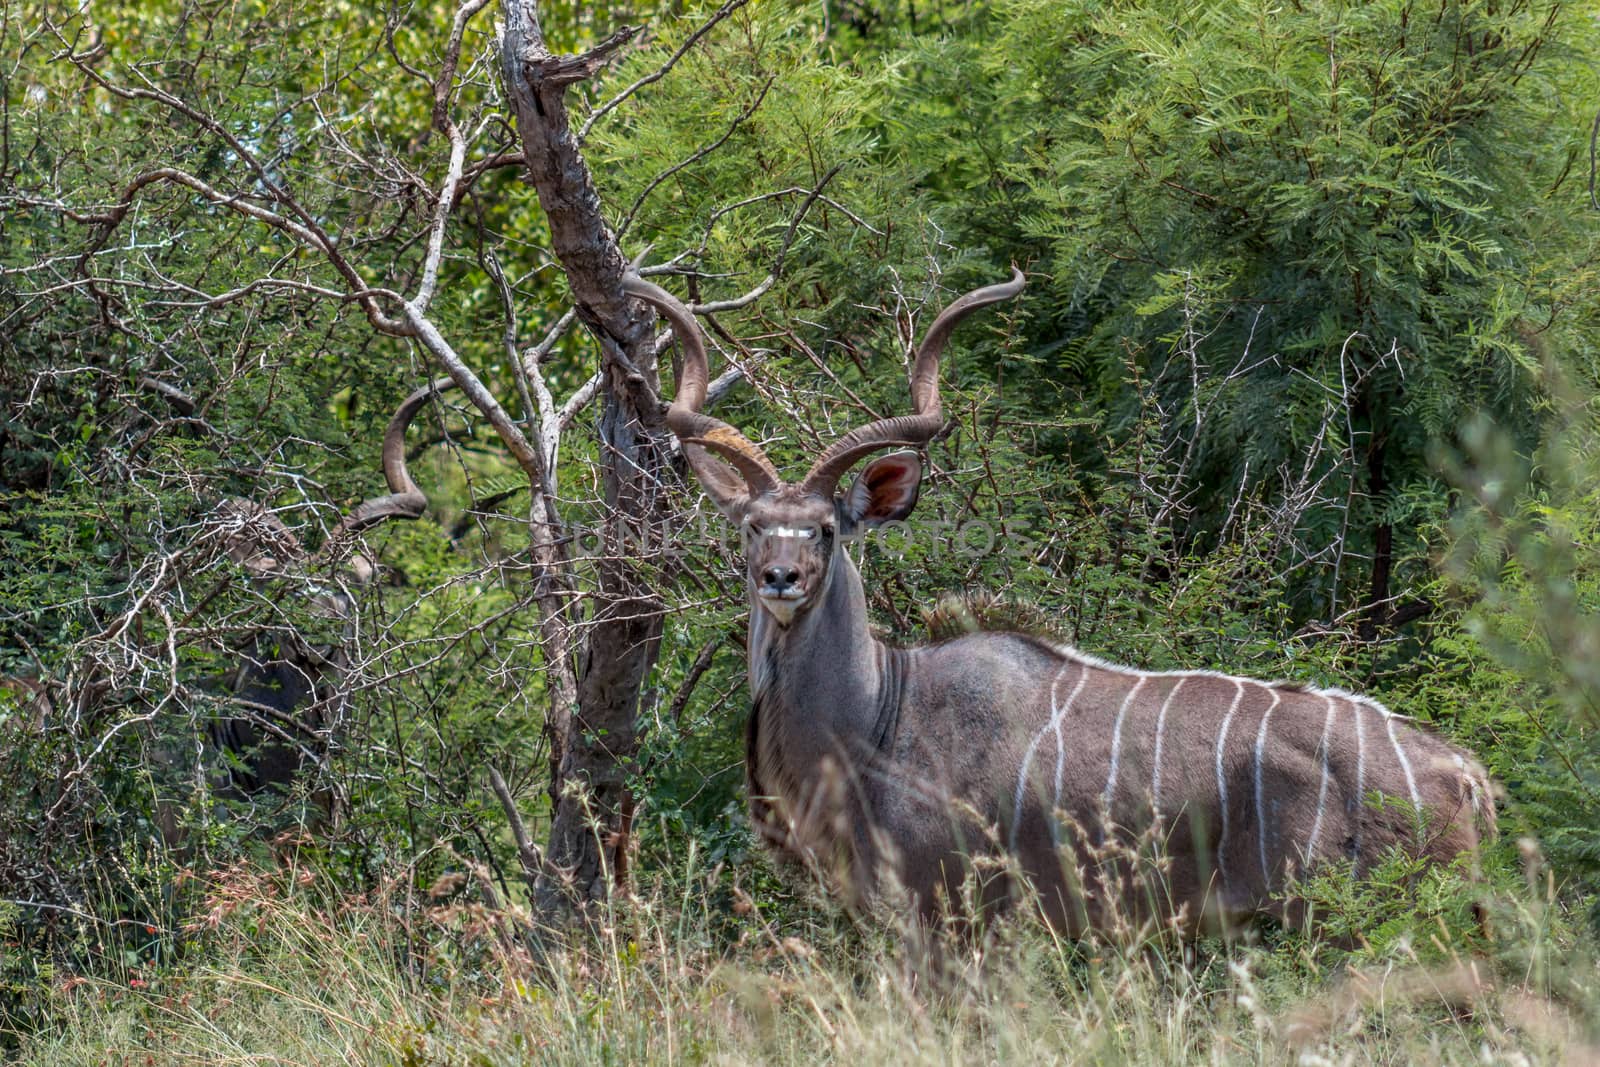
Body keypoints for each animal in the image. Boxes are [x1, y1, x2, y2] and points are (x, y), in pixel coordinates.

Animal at [617, 271, 1491, 940]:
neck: (880, 717)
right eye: (751, 527)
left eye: (827, 530)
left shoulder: (948, 917)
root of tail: (1467, 775)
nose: (781, 578)